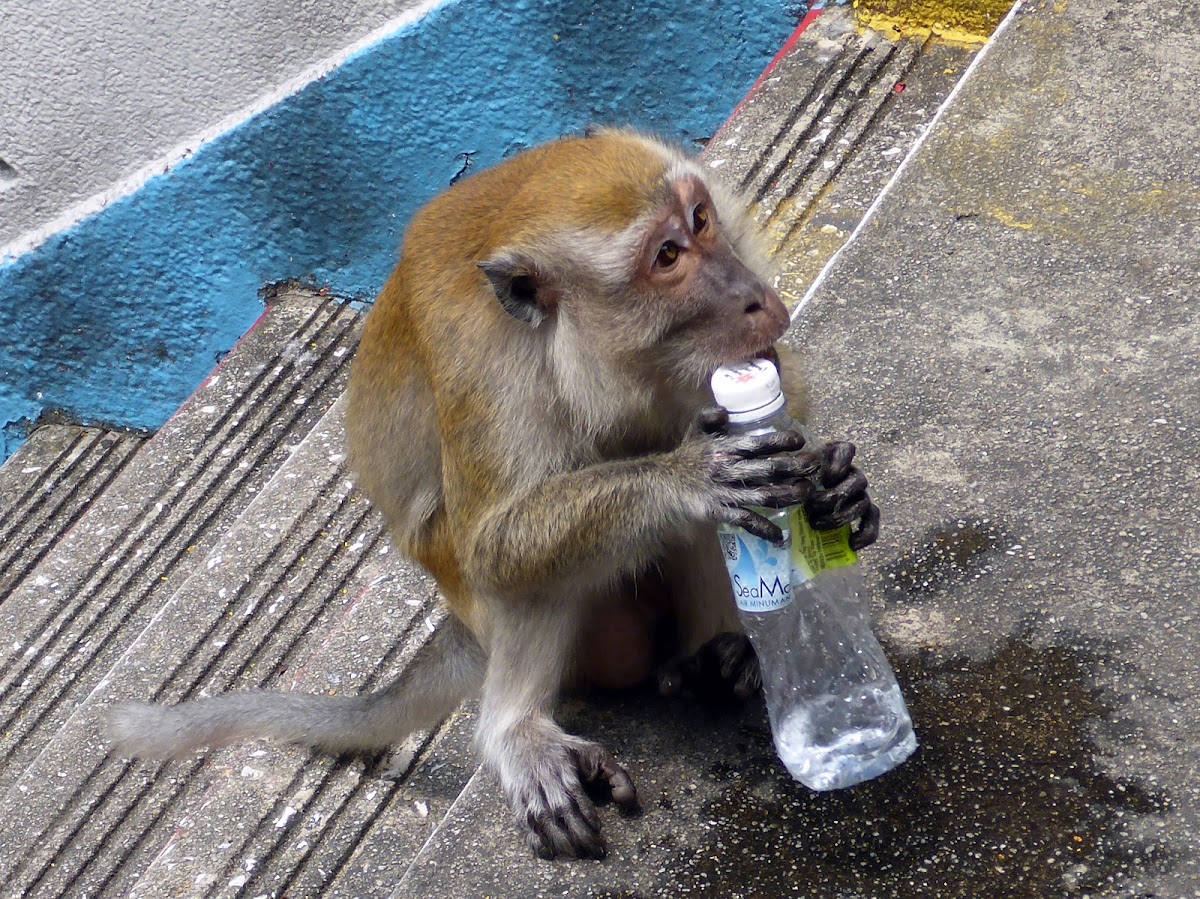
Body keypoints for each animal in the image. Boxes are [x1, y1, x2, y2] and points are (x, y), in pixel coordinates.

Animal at [108, 129, 878, 859]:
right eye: (666, 256)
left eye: (701, 218)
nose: (753, 295)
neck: (587, 354)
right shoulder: (487, 369)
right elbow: (496, 546)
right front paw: (690, 476)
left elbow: (783, 390)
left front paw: (837, 493)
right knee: (529, 574)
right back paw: (517, 732)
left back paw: (719, 657)